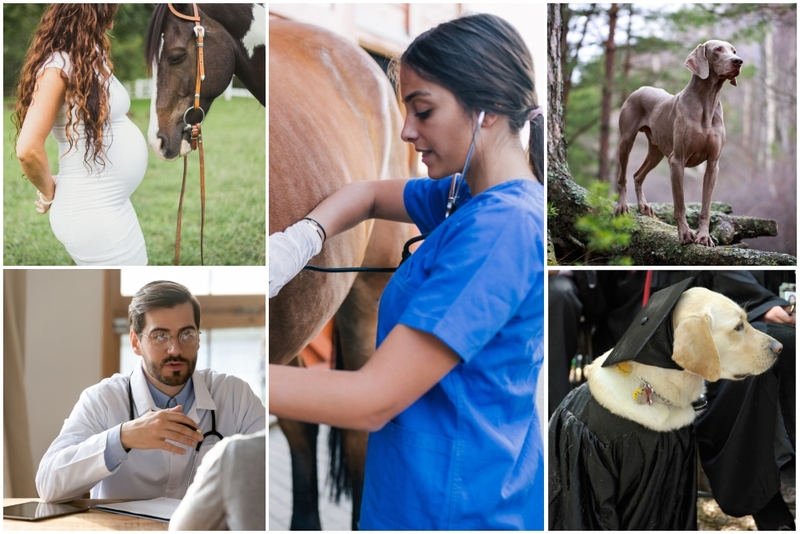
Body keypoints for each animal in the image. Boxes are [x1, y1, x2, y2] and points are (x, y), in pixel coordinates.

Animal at [612, 40, 744, 248]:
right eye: (717, 50)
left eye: (734, 50)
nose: (738, 61)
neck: (707, 101)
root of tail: (640, 89)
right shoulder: (677, 161)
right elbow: (680, 205)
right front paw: (685, 234)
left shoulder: (713, 165)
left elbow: (706, 207)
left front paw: (704, 236)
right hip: (626, 140)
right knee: (623, 176)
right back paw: (622, 205)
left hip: (656, 151)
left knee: (637, 175)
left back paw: (643, 206)